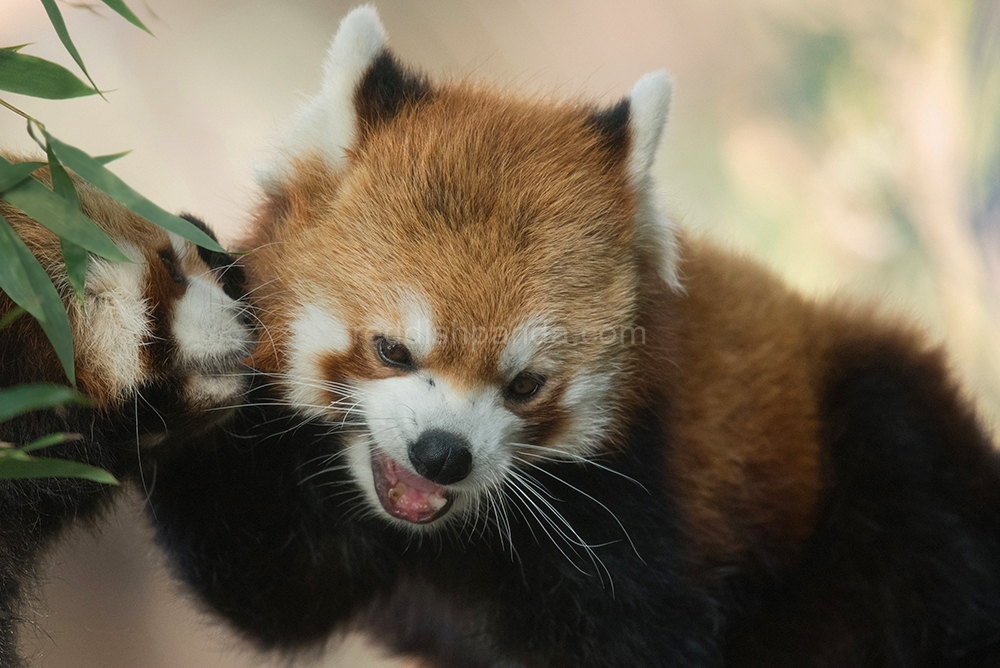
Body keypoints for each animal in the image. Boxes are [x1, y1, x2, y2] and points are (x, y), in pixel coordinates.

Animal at [146, 6, 1000, 668]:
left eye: (526, 385)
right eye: (392, 350)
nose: (442, 455)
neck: (447, 536)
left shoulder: (645, 499)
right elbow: (274, 585)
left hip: (876, 462)